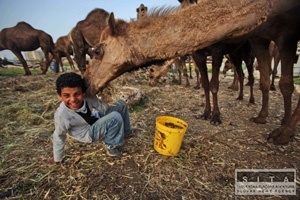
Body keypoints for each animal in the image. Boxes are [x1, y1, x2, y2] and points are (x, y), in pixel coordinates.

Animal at [84, 0, 300, 145]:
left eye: (97, 51)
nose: (85, 83)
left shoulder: (286, 33)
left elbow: (215, 84)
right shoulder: (202, 53)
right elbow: (204, 83)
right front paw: (205, 113)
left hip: (246, 51)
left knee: (251, 73)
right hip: (250, 45)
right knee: (252, 75)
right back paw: (258, 113)